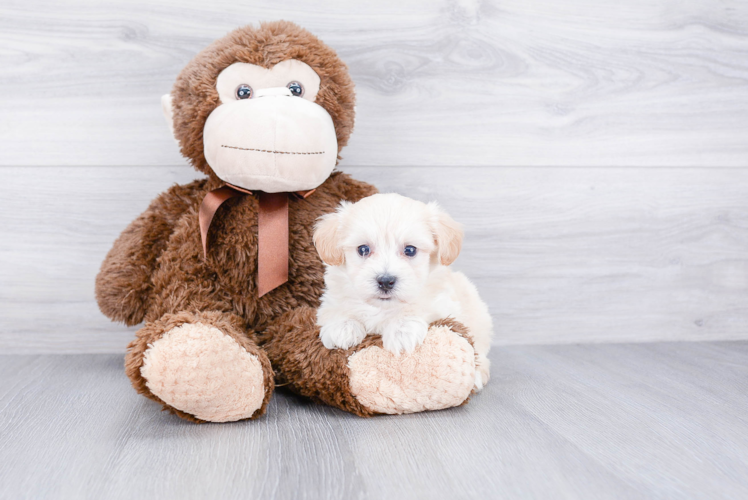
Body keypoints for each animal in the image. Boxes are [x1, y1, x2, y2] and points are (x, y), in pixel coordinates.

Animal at [312, 191, 494, 390]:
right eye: (363, 249)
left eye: (410, 250)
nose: (385, 281)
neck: (382, 308)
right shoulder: (330, 298)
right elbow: (336, 308)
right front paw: (343, 327)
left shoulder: (443, 303)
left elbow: (421, 305)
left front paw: (401, 330)